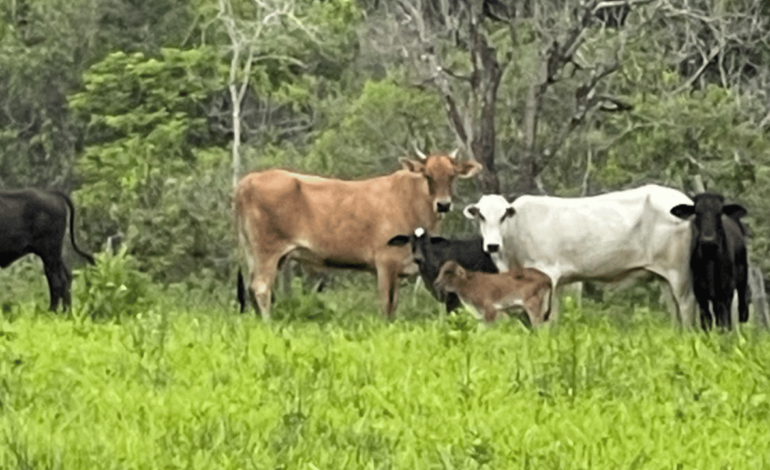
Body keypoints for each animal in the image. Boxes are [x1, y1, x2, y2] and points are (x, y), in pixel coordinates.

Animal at [232, 151, 480, 320]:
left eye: (452, 175)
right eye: (428, 176)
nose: (443, 204)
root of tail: (248, 181)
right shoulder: (385, 262)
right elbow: (386, 304)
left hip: (256, 253)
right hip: (267, 251)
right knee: (261, 288)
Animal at [462, 185, 696, 326]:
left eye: (503, 216)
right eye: (481, 216)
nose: (492, 245)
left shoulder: (547, 275)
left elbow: (545, 319)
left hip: (678, 271)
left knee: (686, 304)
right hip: (662, 276)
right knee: (673, 307)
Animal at [668, 191, 748, 330]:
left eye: (719, 213)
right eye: (697, 213)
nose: (708, 240)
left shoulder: (726, 290)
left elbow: (724, 320)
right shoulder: (700, 292)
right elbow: (706, 319)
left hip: (742, 275)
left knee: (740, 303)